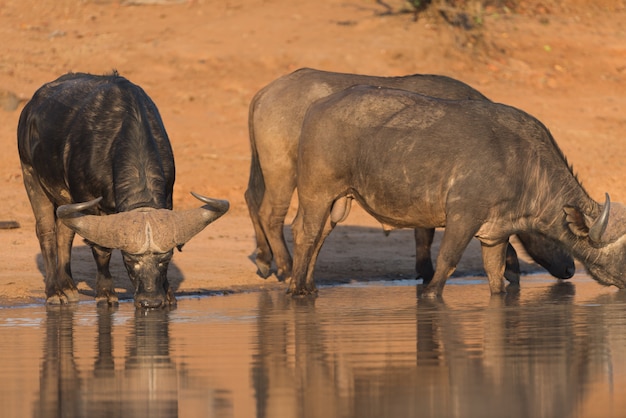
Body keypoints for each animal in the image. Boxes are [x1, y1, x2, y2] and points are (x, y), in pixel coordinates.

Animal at [17, 71, 229, 306]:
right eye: (129, 259)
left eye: (166, 259)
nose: (150, 301)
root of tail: (30, 108)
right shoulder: (89, 202)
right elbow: (101, 249)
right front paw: (105, 292)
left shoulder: (168, 195)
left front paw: (168, 294)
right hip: (31, 175)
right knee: (46, 230)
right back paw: (55, 291)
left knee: (65, 232)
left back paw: (69, 287)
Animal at [241, 68, 572, 284]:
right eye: (552, 233)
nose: (570, 269)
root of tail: (266, 92)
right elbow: (428, 234)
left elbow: (424, 232)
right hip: (282, 171)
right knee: (271, 213)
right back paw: (285, 267)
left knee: (252, 199)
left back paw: (265, 260)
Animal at [288, 85, 620, 298]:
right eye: (622, 250)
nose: (569, 269)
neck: (524, 164)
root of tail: (318, 107)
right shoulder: (463, 218)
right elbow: (445, 265)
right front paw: (430, 295)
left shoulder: (495, 236)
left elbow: (496, 276)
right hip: (316, 193)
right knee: (305, 232)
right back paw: (297, 289)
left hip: (339, 200)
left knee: (319, 235)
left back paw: (310, 285)